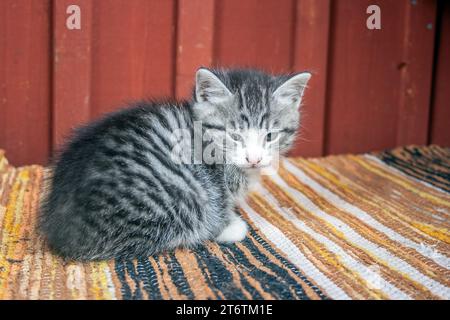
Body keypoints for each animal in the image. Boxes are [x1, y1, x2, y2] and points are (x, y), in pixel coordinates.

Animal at [39, 67, 310, 260]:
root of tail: (60, 229)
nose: (254, 159)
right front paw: (228, 226)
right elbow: (219, 201)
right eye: (235, 135)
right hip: (177, 195)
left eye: (270, 136)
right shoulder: (213, 182)